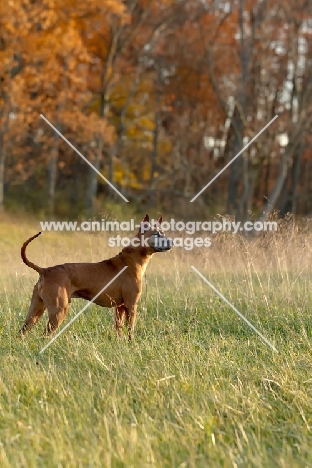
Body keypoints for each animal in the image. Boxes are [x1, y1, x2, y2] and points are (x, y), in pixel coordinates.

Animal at [19, 215, 173, 340]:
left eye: (164, 233)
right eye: (156, 234)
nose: (171, 242)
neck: (133, 257)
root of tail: (45, 271)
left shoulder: (120, 307)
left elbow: (118, 328)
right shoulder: (131, 305)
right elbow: (130, 329)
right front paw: (131, 343)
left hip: (36, 309)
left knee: (23, 331)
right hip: (59, 310)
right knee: (44, 335)